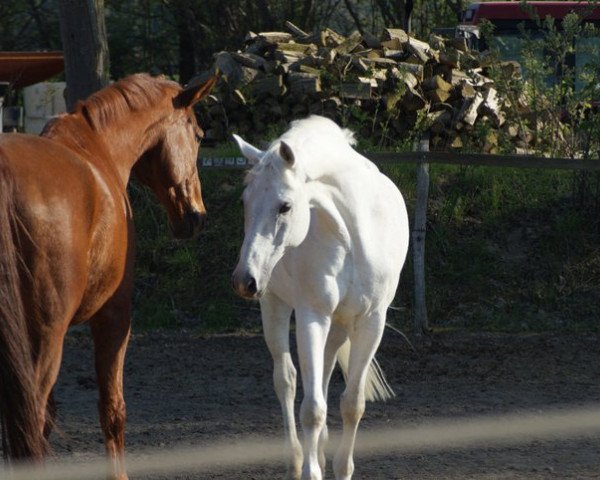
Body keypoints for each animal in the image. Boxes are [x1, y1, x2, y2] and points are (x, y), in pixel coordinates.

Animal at [0, 72, 217, 480]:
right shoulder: (114, 316)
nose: (196, 216)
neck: (96, 150)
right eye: (197, 136)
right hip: (44, 339)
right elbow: (112, 409)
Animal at [232, 115, 410, 480]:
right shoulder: (312, 315)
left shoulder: (372, 322)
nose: (245, 279)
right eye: (245, 201)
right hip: (275, 306)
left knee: (325, 374)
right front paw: (312, 470)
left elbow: (352, 403)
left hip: (338, 324)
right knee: (286, 380)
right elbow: (312, 408)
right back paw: (297, 460)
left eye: (285, 206)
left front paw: (341, 468)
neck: (352, 231)